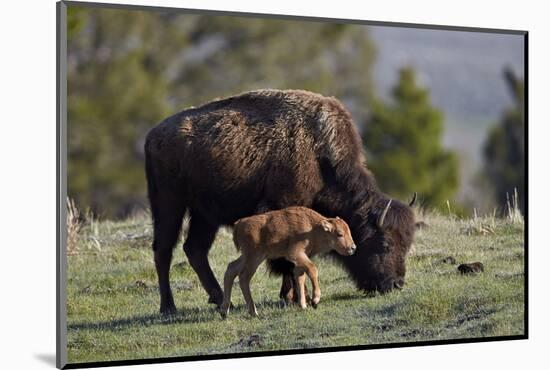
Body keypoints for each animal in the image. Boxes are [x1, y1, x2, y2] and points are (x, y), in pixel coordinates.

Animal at [221, 207, 358, 316]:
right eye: (339, 234)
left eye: (349, 231)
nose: (353, 248)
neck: (312, 227)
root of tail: (239, 224)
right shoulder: (295, 254)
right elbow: (312, 269)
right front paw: (315, 300)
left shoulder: (299, 261)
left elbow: (300, 277)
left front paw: (303, 305)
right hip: (254, 258)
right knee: (243, 277)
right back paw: (253, 312)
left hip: (247, 256)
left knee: (231, 269)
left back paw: (224, 312)